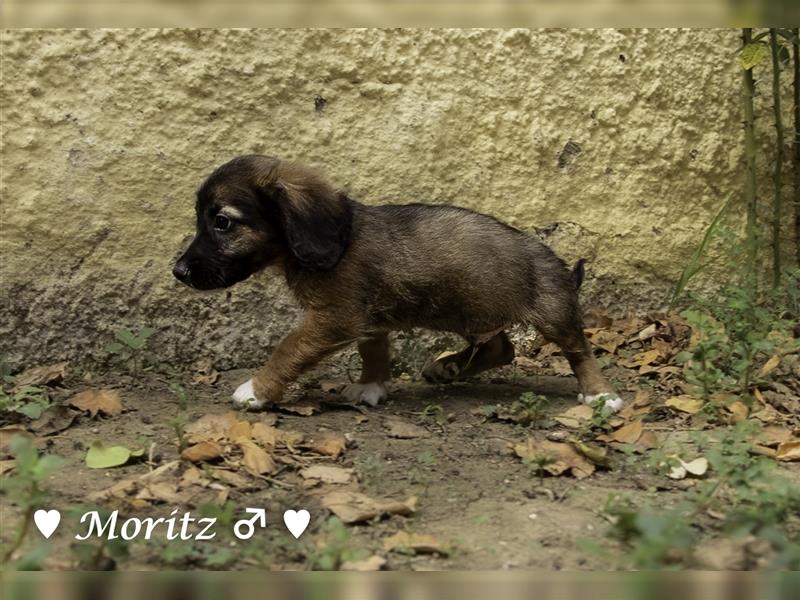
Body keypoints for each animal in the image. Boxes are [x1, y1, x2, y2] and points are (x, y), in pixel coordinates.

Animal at [173, 156, 624, 412]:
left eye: (222, 222)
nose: (178, 271)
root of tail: (560, 267)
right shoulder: (369, 320)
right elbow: (373, 352)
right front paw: (371, 387)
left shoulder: (334, 318)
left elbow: (289, 347)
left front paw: (258, 389)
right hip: (469, 309)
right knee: (502, 347)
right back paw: (449, 366)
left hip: (551, 314)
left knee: (578, 350)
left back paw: (600, 394)